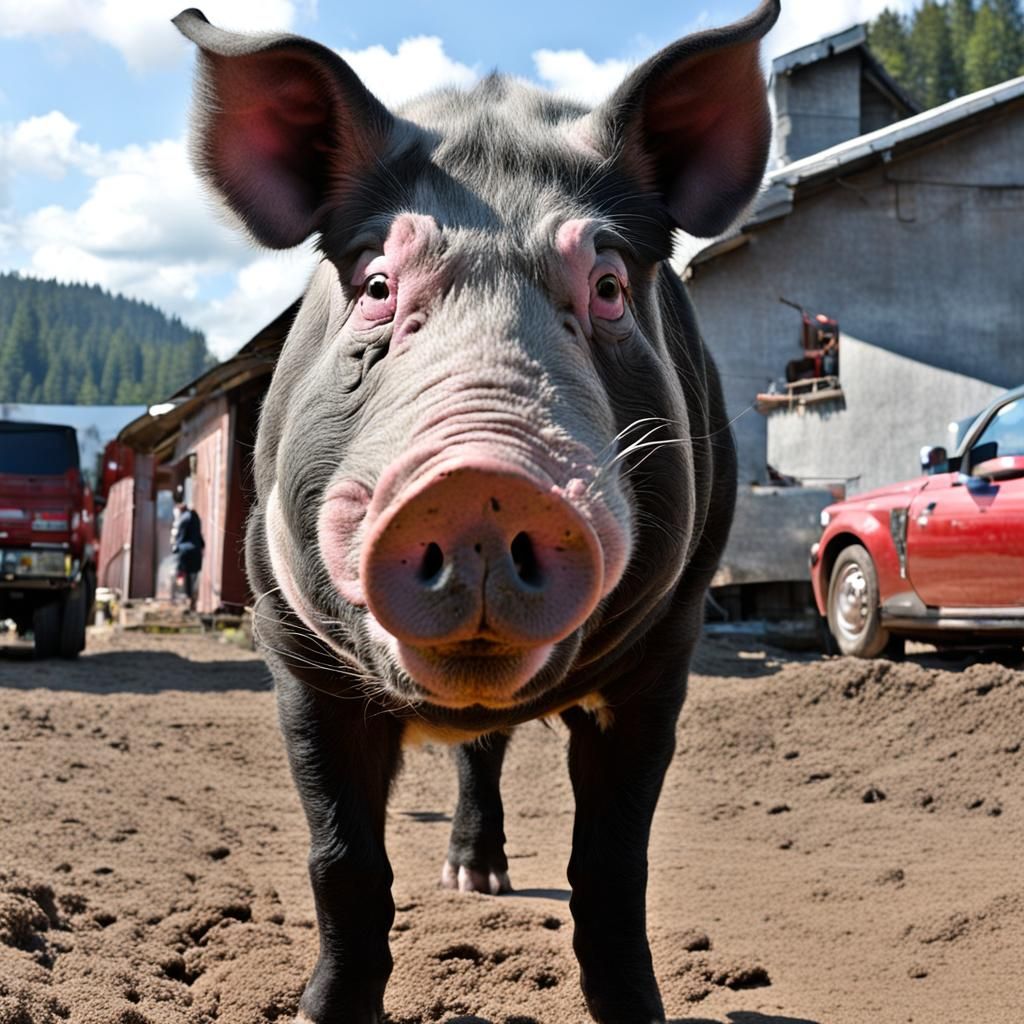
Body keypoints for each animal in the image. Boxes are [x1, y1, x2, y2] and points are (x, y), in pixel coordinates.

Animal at [174, 3, 779, 1021]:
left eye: (609, 288)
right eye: (378, 287)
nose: (482, 482)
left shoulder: (669, 646)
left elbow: (612, 868)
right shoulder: (290, 648)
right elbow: (343, 865)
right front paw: (319, 1012)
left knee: (485, 755)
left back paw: (482, 880)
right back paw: (470, 880)